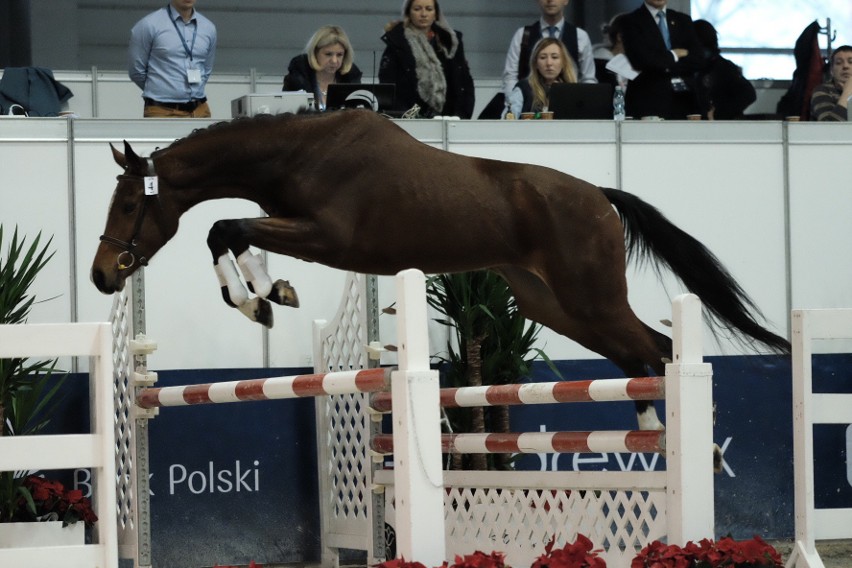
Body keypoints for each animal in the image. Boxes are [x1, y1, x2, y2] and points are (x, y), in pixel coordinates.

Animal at [90, 110, 788, 430]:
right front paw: (272, 293)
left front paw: (262, 299)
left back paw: (677, 436)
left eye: (127, 204)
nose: (102, 276)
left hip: (591, 297)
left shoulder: (328, 236)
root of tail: (599, 194)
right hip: (554, 305)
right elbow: (232, 233)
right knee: (639, 353)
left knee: (659, 347)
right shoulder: (303, 230)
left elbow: (224, 229)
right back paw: (661, 431)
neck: (300, 151)